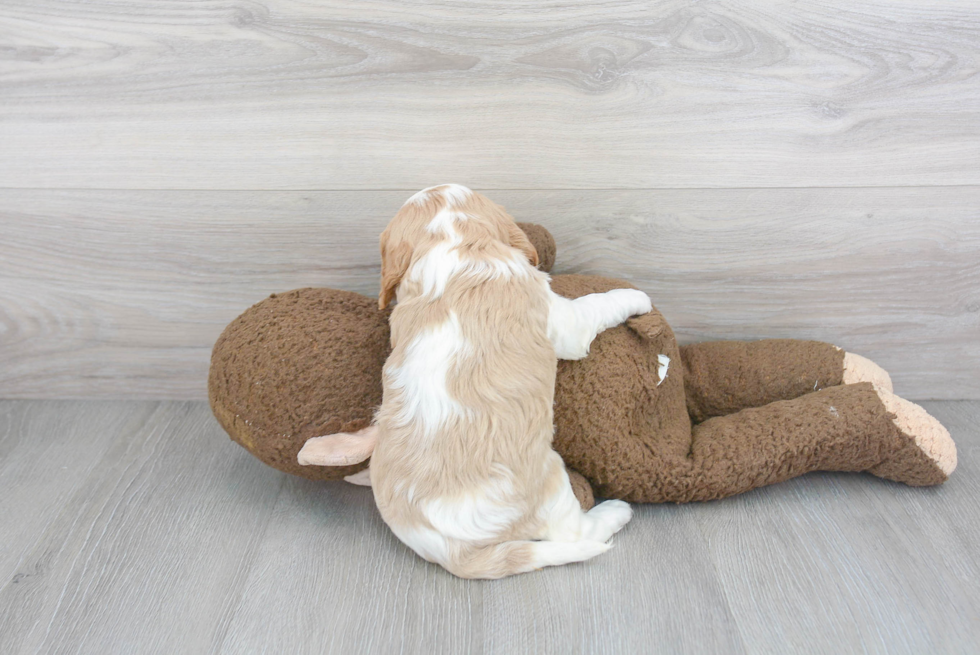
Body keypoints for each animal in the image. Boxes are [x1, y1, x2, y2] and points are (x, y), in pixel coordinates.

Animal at [298, 186, 652, 580]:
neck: (450, 241)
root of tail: (453, 553)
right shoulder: (560, 318)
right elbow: (596, 306)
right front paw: (635, 297)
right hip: (549, 481)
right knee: (573, 532)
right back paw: (615, 512)